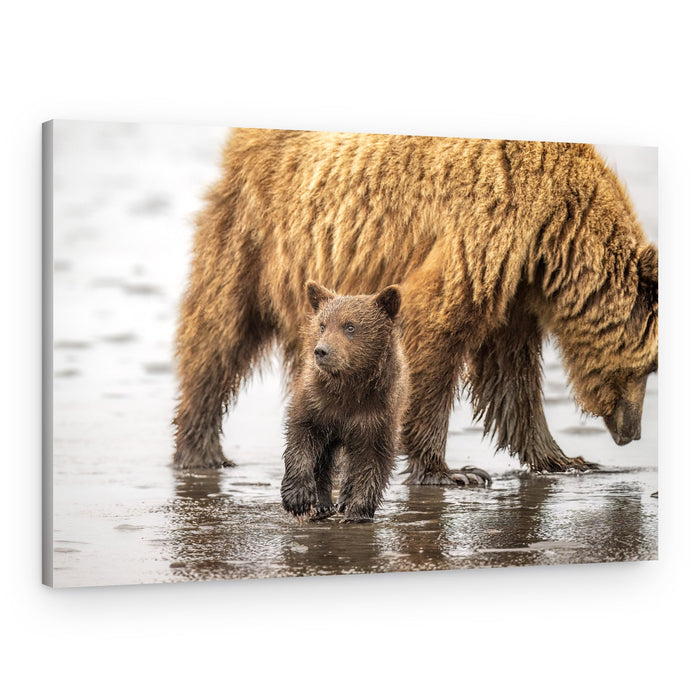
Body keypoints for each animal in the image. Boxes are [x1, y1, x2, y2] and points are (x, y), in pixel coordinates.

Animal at [173, 129, 658, 485]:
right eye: (653, 367)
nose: (632, 433)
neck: (553, 234)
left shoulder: (514, 286)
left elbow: (511, 375)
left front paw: (566, 459)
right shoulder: (482, 232)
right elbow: (434, 332)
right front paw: (451, 471)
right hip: (257, 237)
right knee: (218, 334)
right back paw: (201, 451)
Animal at [281, 282, 408, 523]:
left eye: (350, 326)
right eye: (322, 325)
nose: (321, 351)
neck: (348, 386)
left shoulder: (377, 411)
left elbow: (375, 458)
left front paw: (358, 513)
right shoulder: (317, 402)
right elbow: (302, 437)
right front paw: (298, 500)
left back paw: (344, 500)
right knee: (324, 456)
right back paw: (323, 506)